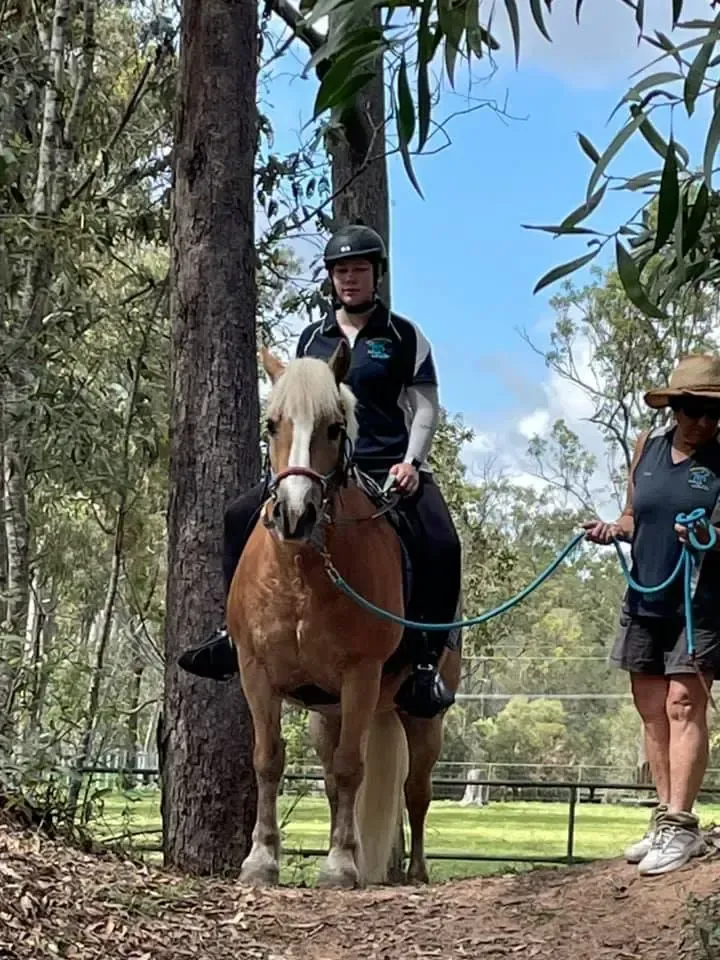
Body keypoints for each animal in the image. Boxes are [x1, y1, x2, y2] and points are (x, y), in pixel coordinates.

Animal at [226, 341, 461, 888]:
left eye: (334, 427)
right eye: (272, 424)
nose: (294, 514)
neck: (302, 573)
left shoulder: (361, 674)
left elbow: (354, 768)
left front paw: (339, 866)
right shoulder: (255, 673)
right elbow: (268, 761)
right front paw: (261, 859)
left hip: (422, 718)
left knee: (416, 792)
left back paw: (415, 872)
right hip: (326, 714)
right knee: (336, 779)